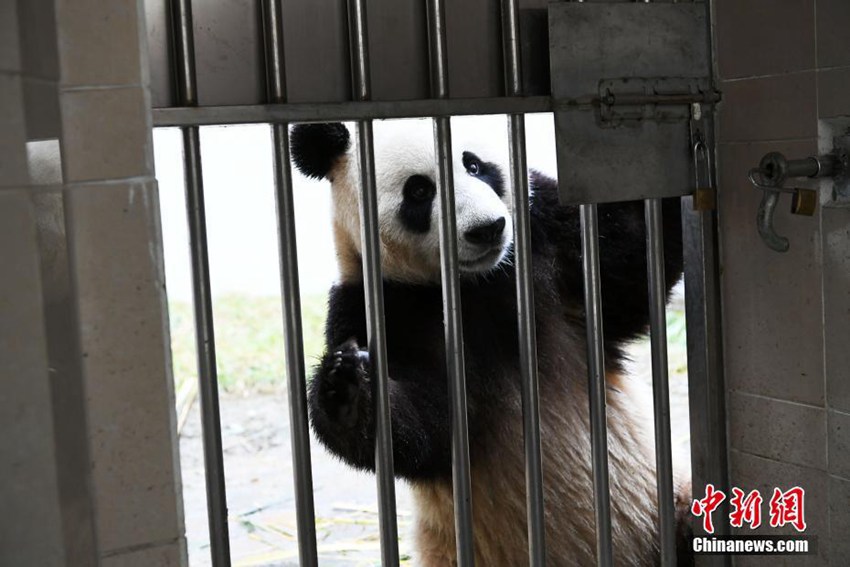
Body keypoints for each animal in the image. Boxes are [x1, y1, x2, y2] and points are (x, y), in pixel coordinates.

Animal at [290, 117, 688, 564]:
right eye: (419, 191)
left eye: (475, 165)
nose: (488, 229)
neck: (470, 283)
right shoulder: (377, 308)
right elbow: (421, 426)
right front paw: (343, 387)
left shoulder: (546, 241)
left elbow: (628, 270)